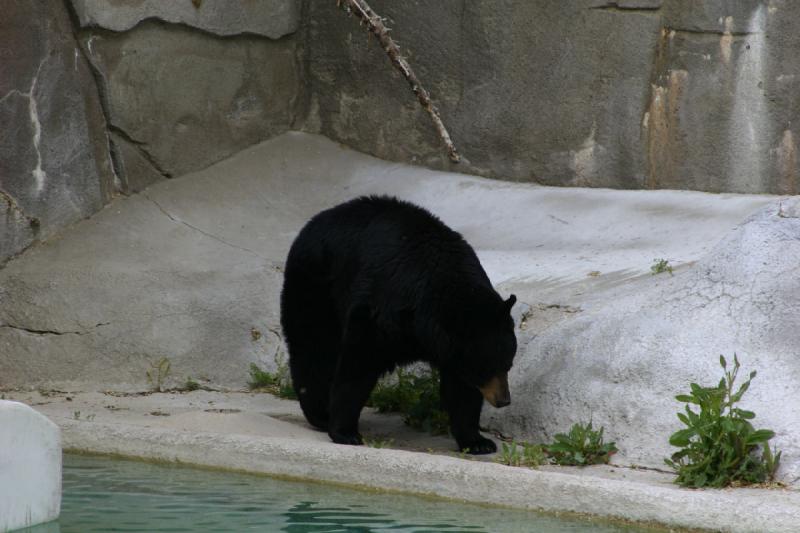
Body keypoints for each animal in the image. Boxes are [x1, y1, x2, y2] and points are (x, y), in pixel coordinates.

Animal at [282, 195, 520, 454]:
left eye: (508, 364)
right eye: (485, 368)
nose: (503, 400)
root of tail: (315, 221)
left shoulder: (452, 345)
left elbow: (461, 388)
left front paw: (477, 441)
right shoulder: (381, 312)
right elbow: (358, 362)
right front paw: (345, 432)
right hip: (316, 285)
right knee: (314, 346)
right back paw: (319, 413)